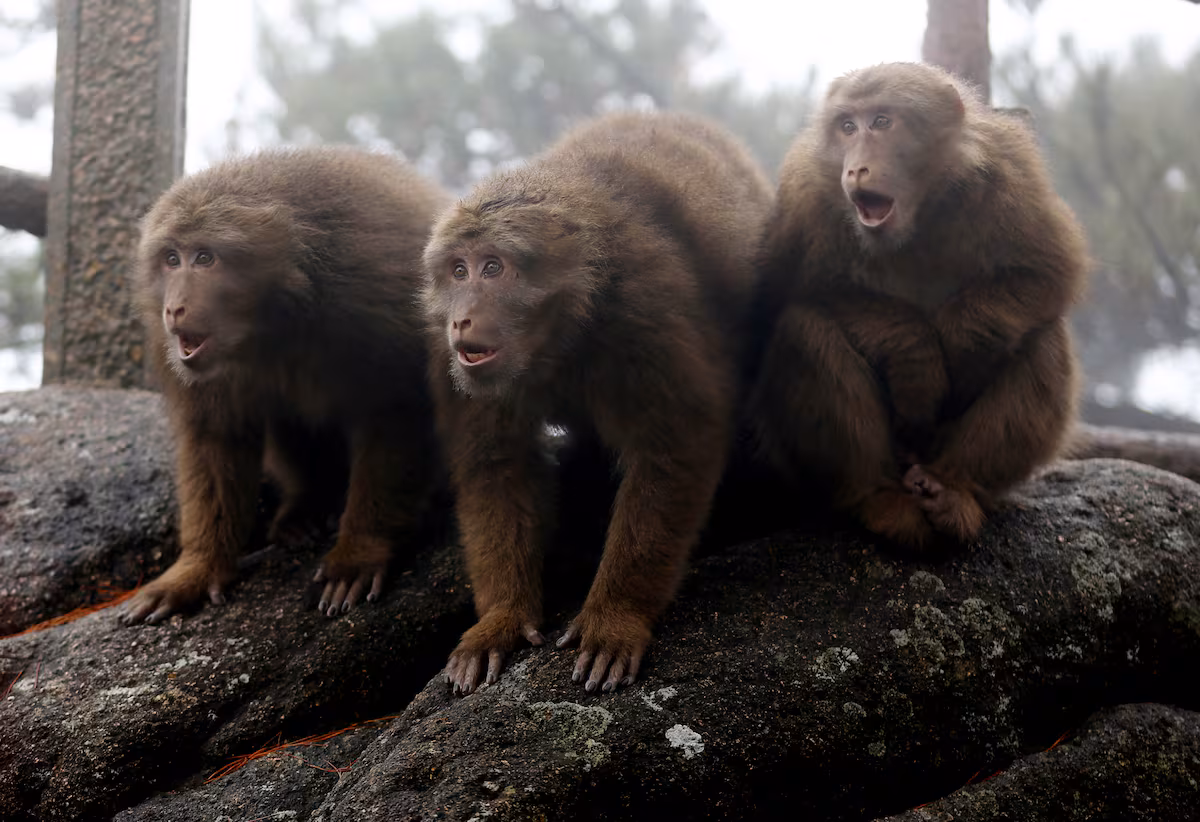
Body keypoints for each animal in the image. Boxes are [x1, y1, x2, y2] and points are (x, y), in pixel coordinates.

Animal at [122, 146, 450, 625]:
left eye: (204, 258)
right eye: (171, 259)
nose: (174, 308)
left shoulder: (373, 289)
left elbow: (397, 411)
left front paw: (360, 551)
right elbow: (216, 437)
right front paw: (197, 568)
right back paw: (307, 504)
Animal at [422, 110, 774, 695]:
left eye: (492, 268)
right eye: (458, 271)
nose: (462, 318)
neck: (560, 333)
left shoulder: (643, 309)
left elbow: (676, 445)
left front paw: (616, 615)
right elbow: (498, 466)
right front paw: (500, 619)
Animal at [749, 62, 1089, 548]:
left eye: (882, 122)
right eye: (847, 127)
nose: (856, 169)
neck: (917, 221)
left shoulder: (1009, 174)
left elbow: (1045, 271)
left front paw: (965, 345)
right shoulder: (806, 196)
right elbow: (788, 293)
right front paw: (915, 360)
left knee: (1044, 338)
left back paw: (953, 489)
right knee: (803, 329)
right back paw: (880, 499)